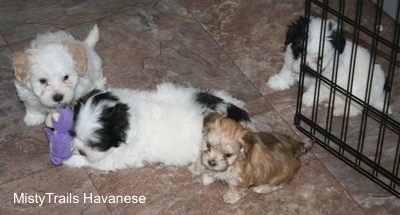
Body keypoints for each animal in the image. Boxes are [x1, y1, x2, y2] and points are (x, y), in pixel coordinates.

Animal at [62, 82, 250, 171]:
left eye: (96, 145)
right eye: (74, 133)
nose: (81, 150)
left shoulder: (115, 157)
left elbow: (94, 161)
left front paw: (70, 159)